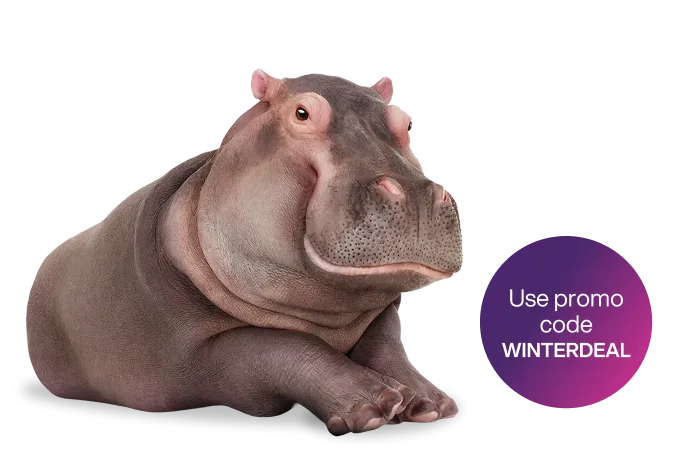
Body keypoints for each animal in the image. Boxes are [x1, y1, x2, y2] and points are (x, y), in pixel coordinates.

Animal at [25, 69, 464, 434]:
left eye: (406, 122)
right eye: (302, 113)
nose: (417, 194)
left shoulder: (381, 313)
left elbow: (386, 344)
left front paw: (429, 404)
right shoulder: (197, 357)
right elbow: (281, 347)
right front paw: (376, 406)